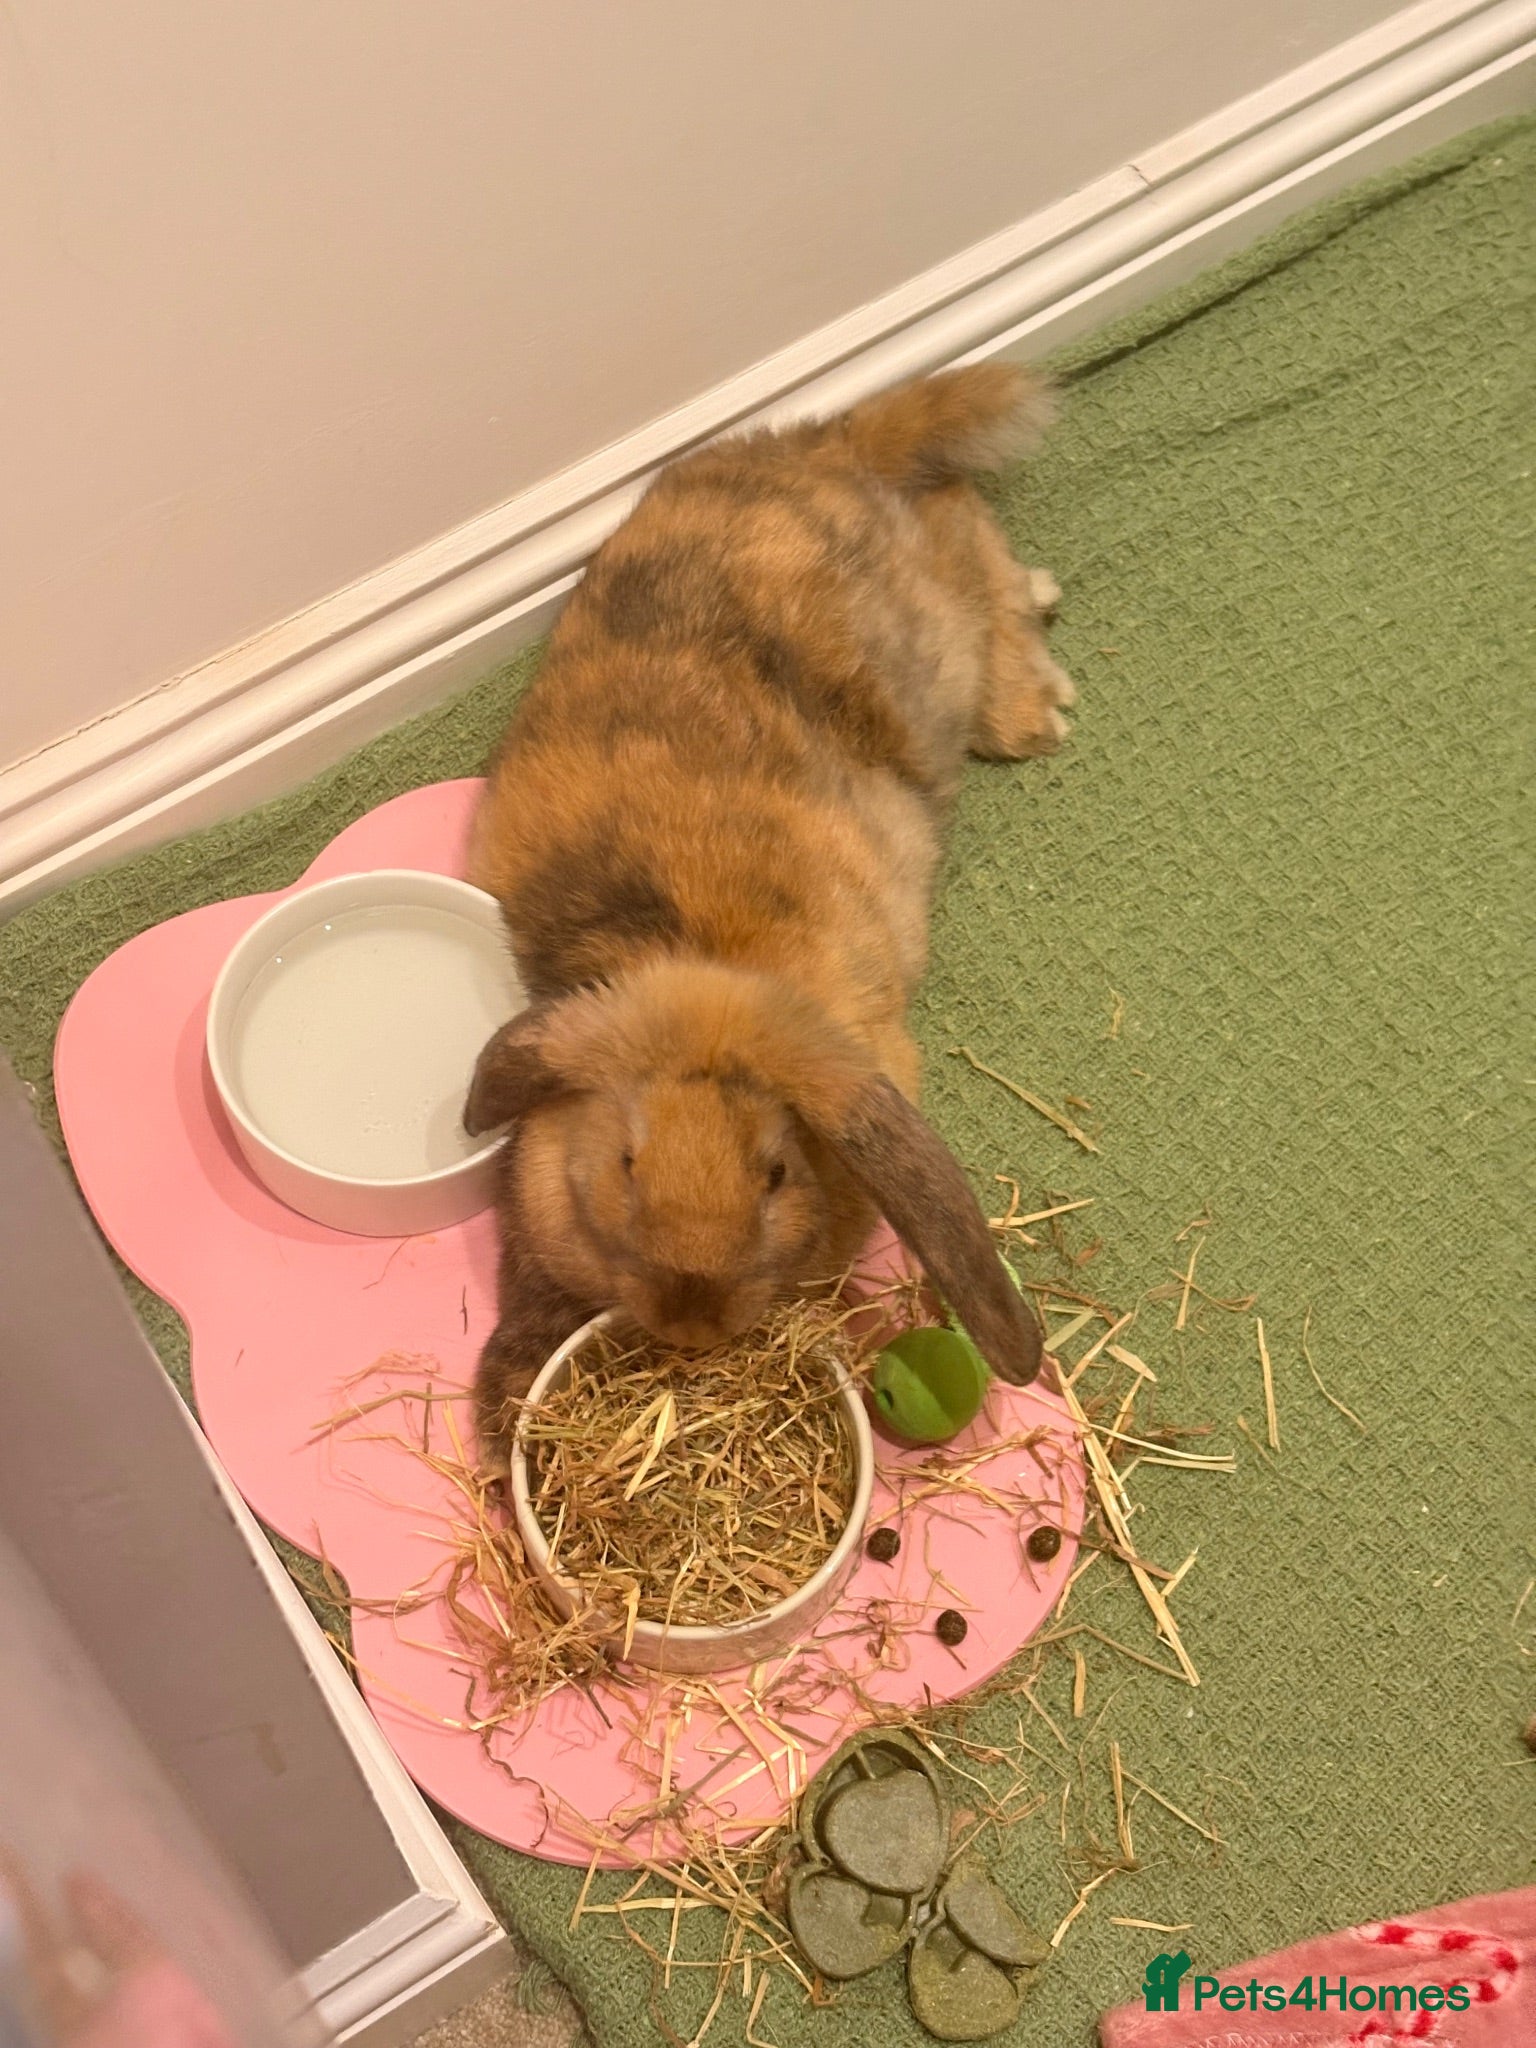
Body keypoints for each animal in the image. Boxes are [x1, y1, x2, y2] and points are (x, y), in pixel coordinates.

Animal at [464, 363, 1075, 1467]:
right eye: (626, 1162)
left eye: (777, 1171)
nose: (694, 1319)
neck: (699, 959)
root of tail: (826, 449)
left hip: (934, 647)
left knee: (962, 533)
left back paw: (1036, 694)